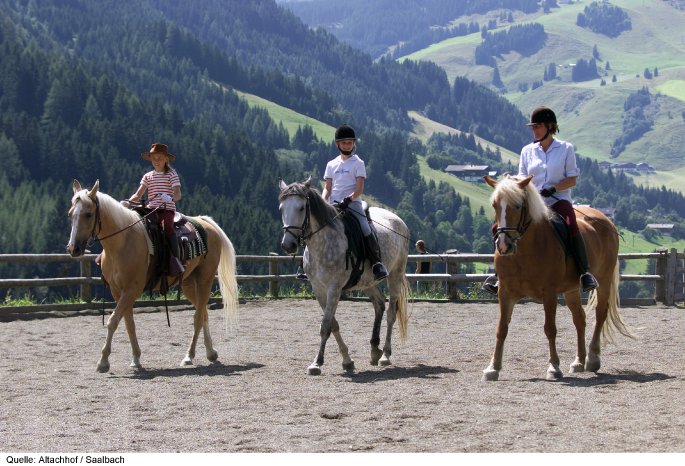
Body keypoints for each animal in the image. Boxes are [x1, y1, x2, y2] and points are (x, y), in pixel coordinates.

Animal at [67, 180, 238, 374]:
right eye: (71, 214)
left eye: (88, 214)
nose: (73, 248)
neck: (122, 242)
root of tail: (205, 222)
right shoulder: (117, 291)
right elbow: (128, 323)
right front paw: (136, 359)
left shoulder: (132, 289)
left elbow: (113, 321)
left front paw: (103, 362)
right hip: (188, 284)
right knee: (204, 314)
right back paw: (211, 353)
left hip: (205, 280)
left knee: (198, 317)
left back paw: (189, 356)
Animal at [276, 178, 408, 374]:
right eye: (281, 209)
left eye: (301, 208)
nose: (288, 245)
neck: (322, 243)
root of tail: (398, 220)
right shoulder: (319, 289)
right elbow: (333, 324)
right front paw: (347, 360)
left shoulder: (334, 288)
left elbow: (325, 326)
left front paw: (317, 363)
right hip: (367, 282)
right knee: (379, 304)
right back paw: (374, 350)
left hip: (395, 275)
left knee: (391, 312)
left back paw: (385, 355)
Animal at [480, 175, 632, 382]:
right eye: (495, 205)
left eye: (518, 206)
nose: (504, 245)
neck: (525, 250)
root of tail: (605, 220)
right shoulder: (505, 291)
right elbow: (501, 328)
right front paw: (493, 368)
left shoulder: (549, 293)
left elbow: (550, 329)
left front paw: (553, 367)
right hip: (571, 289)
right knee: (580, 319)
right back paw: (578, 362)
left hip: (604, 279)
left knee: (600, 313)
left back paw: (592, 358)